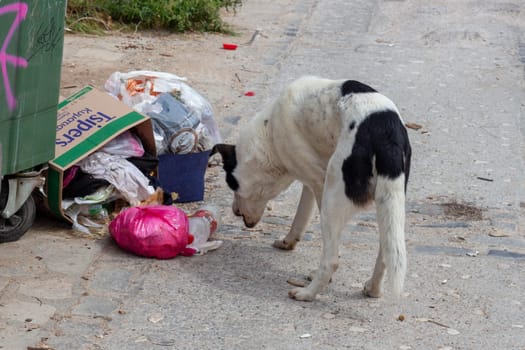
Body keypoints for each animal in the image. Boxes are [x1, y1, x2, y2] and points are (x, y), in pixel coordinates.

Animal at [211, 76, 412, 300]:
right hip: (389, 203)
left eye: (231, 183)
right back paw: (373, 288)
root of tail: (386, 136)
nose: (235, 211)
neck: (269, 134)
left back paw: (306, 293)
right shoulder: (311, 180)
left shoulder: (317, 182)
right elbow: (301, 215)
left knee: (331, 260)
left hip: (332, 201)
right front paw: (288, 241)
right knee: (387, 249)